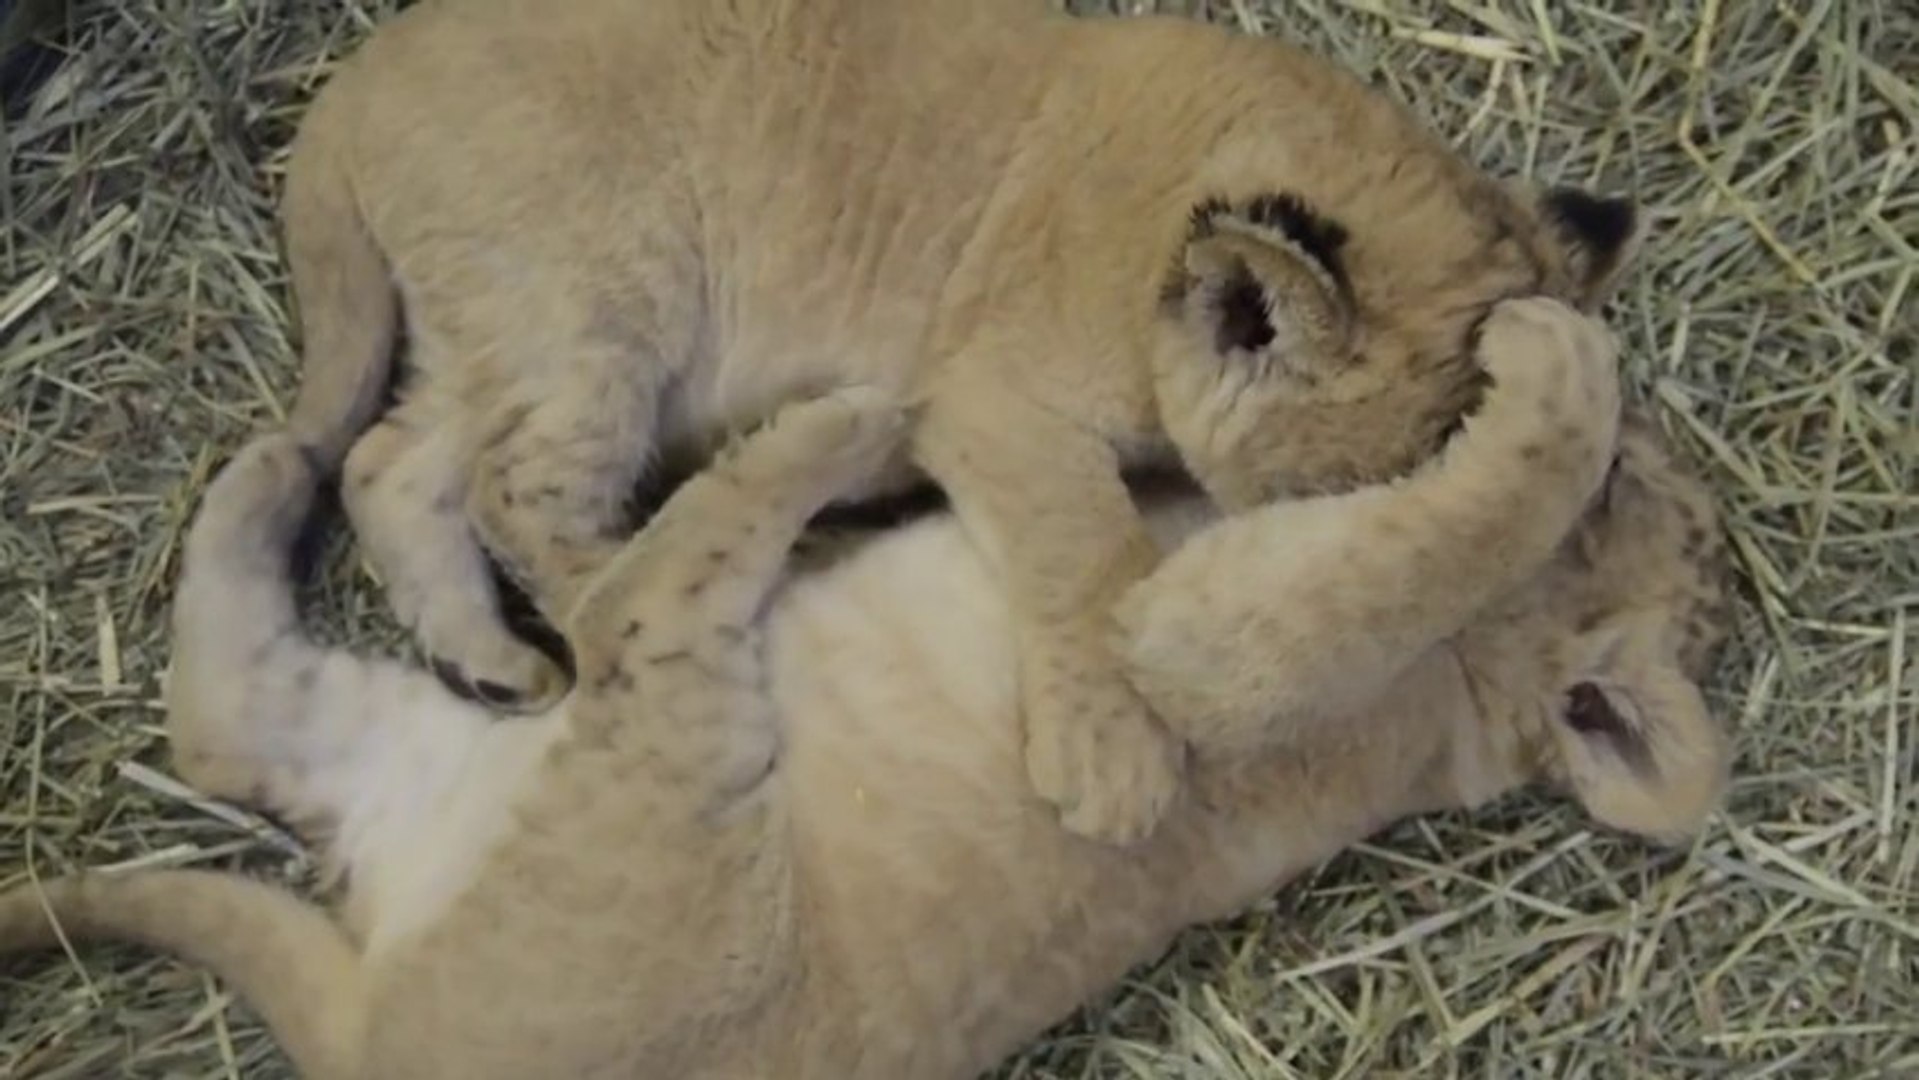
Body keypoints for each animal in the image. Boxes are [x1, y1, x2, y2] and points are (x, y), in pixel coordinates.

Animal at [0, 298, 1731, 1080]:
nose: (1662, 440)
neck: (1466, 704)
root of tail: (370, 1027)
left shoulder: (1188, 641)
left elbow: (1433, 535)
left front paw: (1553, 365)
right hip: (409, 741)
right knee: (221, 717)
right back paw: (267, 470)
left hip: (673, 793)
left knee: (647, 602)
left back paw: (833, 428)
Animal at [278, 0, 1646, 843]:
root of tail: (347, 88)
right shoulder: (992, 400)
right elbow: (1085, 544)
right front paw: (1112, 765)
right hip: (595, 296)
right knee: (523, 491)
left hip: (491, 323)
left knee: (391, 464)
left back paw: (492, 664)